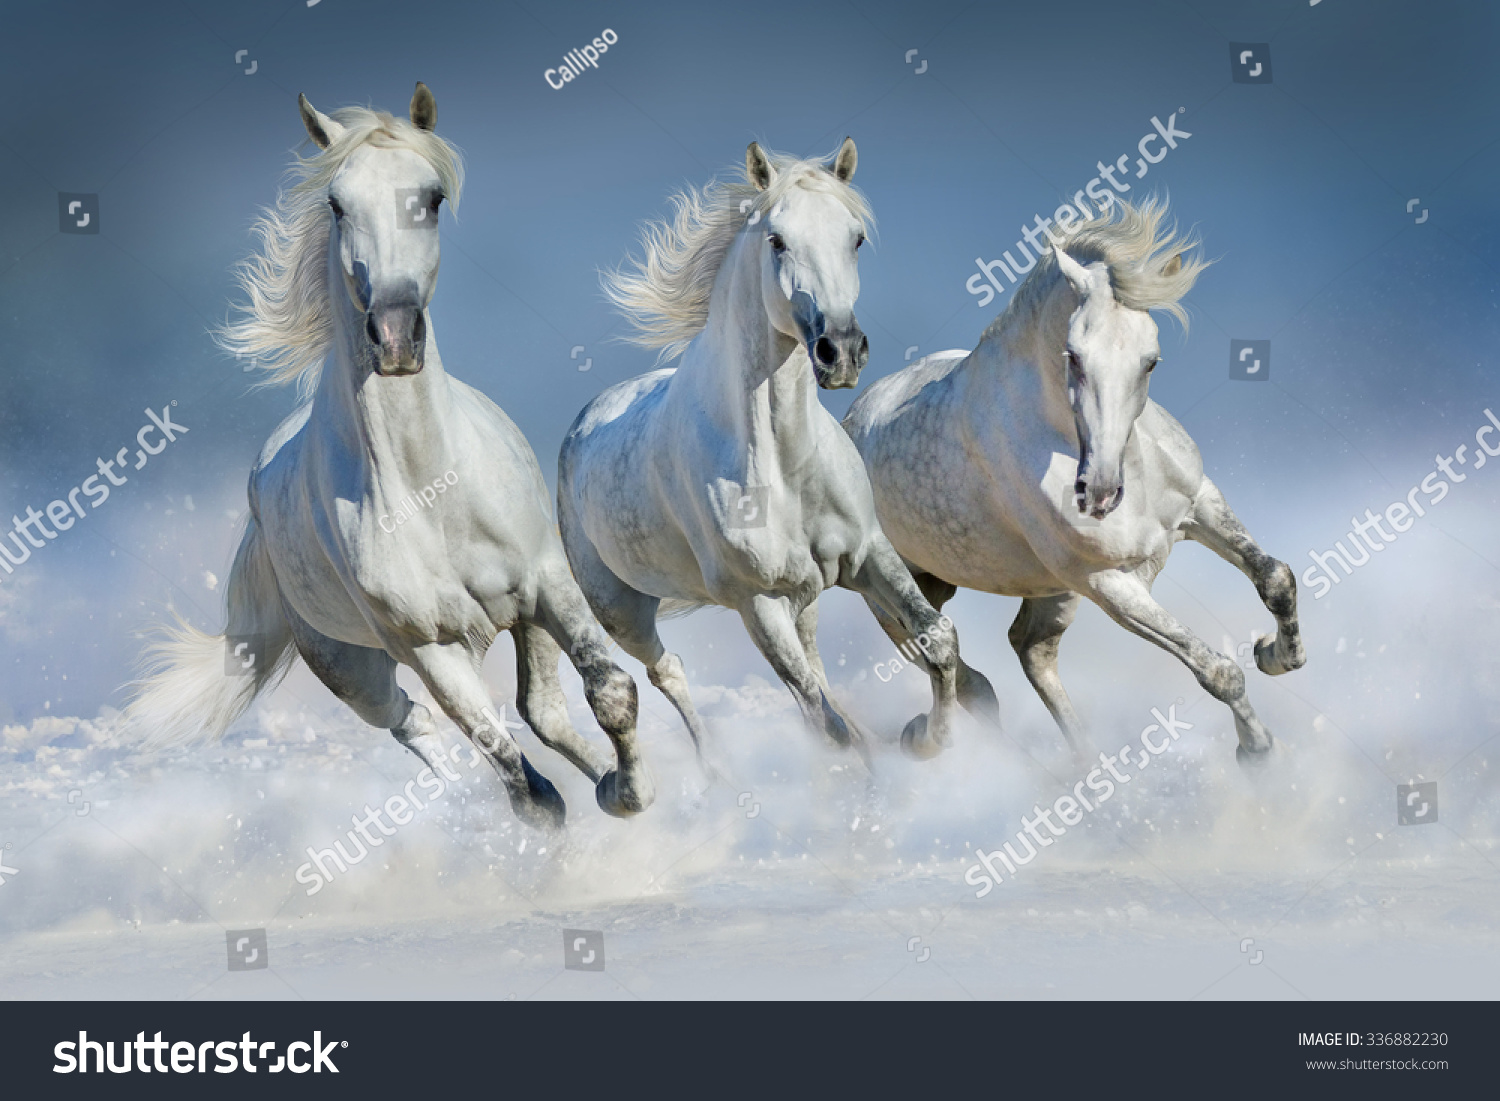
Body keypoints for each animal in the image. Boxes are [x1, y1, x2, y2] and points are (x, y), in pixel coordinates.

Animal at [127, 84, 653, 828]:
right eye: (336, 203)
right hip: (354, 670)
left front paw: (629, 792)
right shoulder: (430, 647)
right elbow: (525, 789)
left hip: (520, 620)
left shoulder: (548, 585)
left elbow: (610, 691)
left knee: (543, 711)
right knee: (416, 723)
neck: (430, 488)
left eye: (431, 198)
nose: (396, 336)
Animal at [558, 140, 979, 762]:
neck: (782, 464)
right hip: (623, 611)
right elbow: (820, 720)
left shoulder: (868, 552)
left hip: (803, 593)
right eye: (777, 240)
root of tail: (583, 424)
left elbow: (937, 639)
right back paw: (715, 773)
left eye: (856, 237)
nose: (840, 351)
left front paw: (929, 739)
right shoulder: (756, 602)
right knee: (667, 672)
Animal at [843, 199, 1305, 768]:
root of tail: (853, 419)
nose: (1100, 493)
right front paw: (1259, 751)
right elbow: (1216, 670)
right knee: (958, 671)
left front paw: (1277, 654)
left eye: (1150, 361)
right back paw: (940, 743)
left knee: (1030, 648)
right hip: (894, 591)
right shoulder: (1106, 582)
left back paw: (1084, 763)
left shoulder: (1200, 504)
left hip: (1044, 591)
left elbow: (1276, 577)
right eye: (1074, 355)